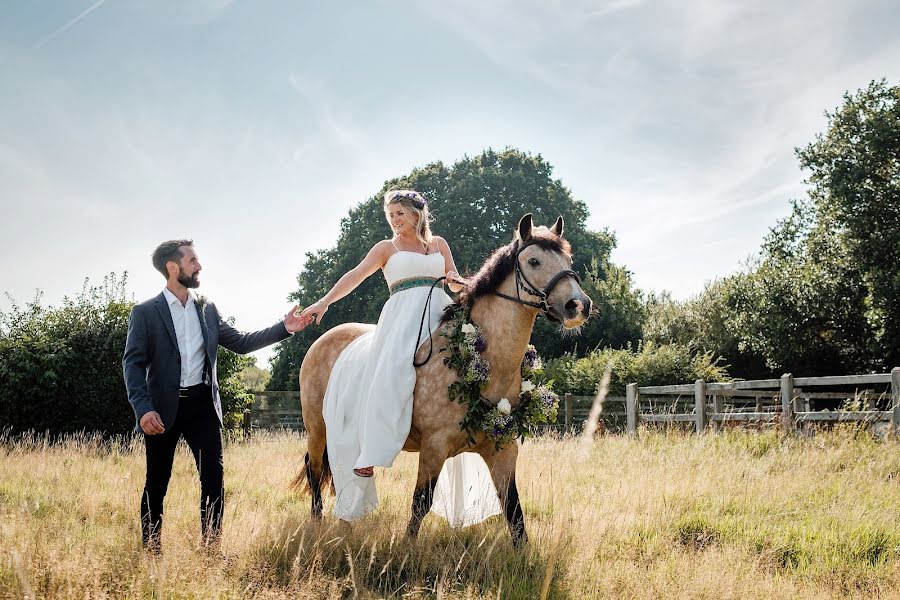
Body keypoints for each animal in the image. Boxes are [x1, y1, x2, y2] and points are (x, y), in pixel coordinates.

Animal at [292, 213, 596, 548]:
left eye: (568, 259)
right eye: (533, 261)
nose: (579, 306)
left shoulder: (503, 449)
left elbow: (514, 511)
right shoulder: (433, 448)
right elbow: (420, 504)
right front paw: (407, 552)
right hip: (317, 430)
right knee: (315, 471)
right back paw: (318, 524)